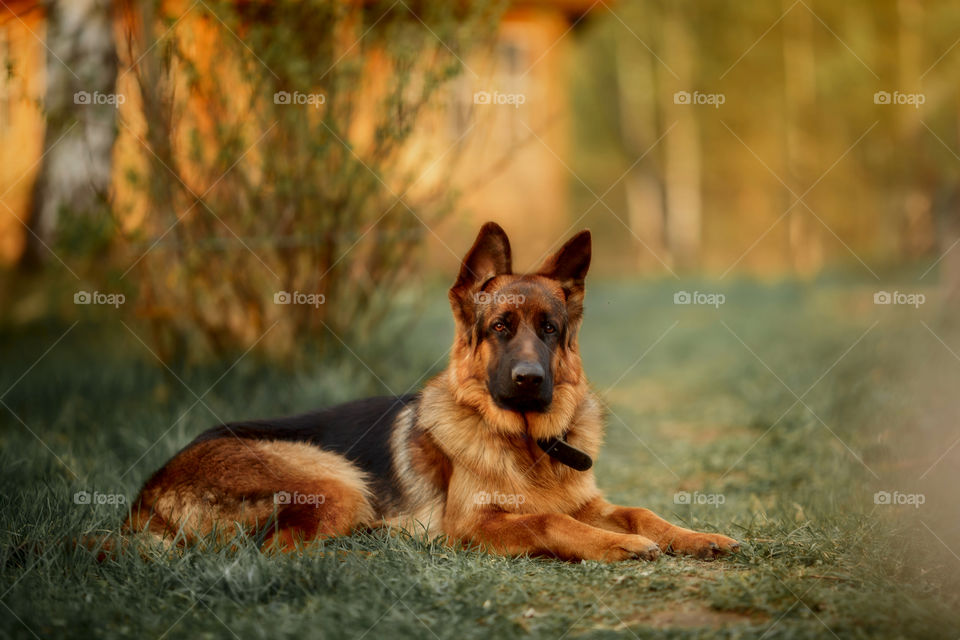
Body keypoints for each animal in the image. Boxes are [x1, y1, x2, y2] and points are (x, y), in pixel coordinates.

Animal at [125, 224, 744, 560]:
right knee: (270, 551)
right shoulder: (476, 525)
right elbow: (551, 522)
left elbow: (641, 512)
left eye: (550, 329)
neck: (527, 446)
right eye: (501, 328)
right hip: (336, 480)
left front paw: (697, 535)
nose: (530, 380)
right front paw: (617, 546)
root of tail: (146, 495)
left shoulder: (592, 503)